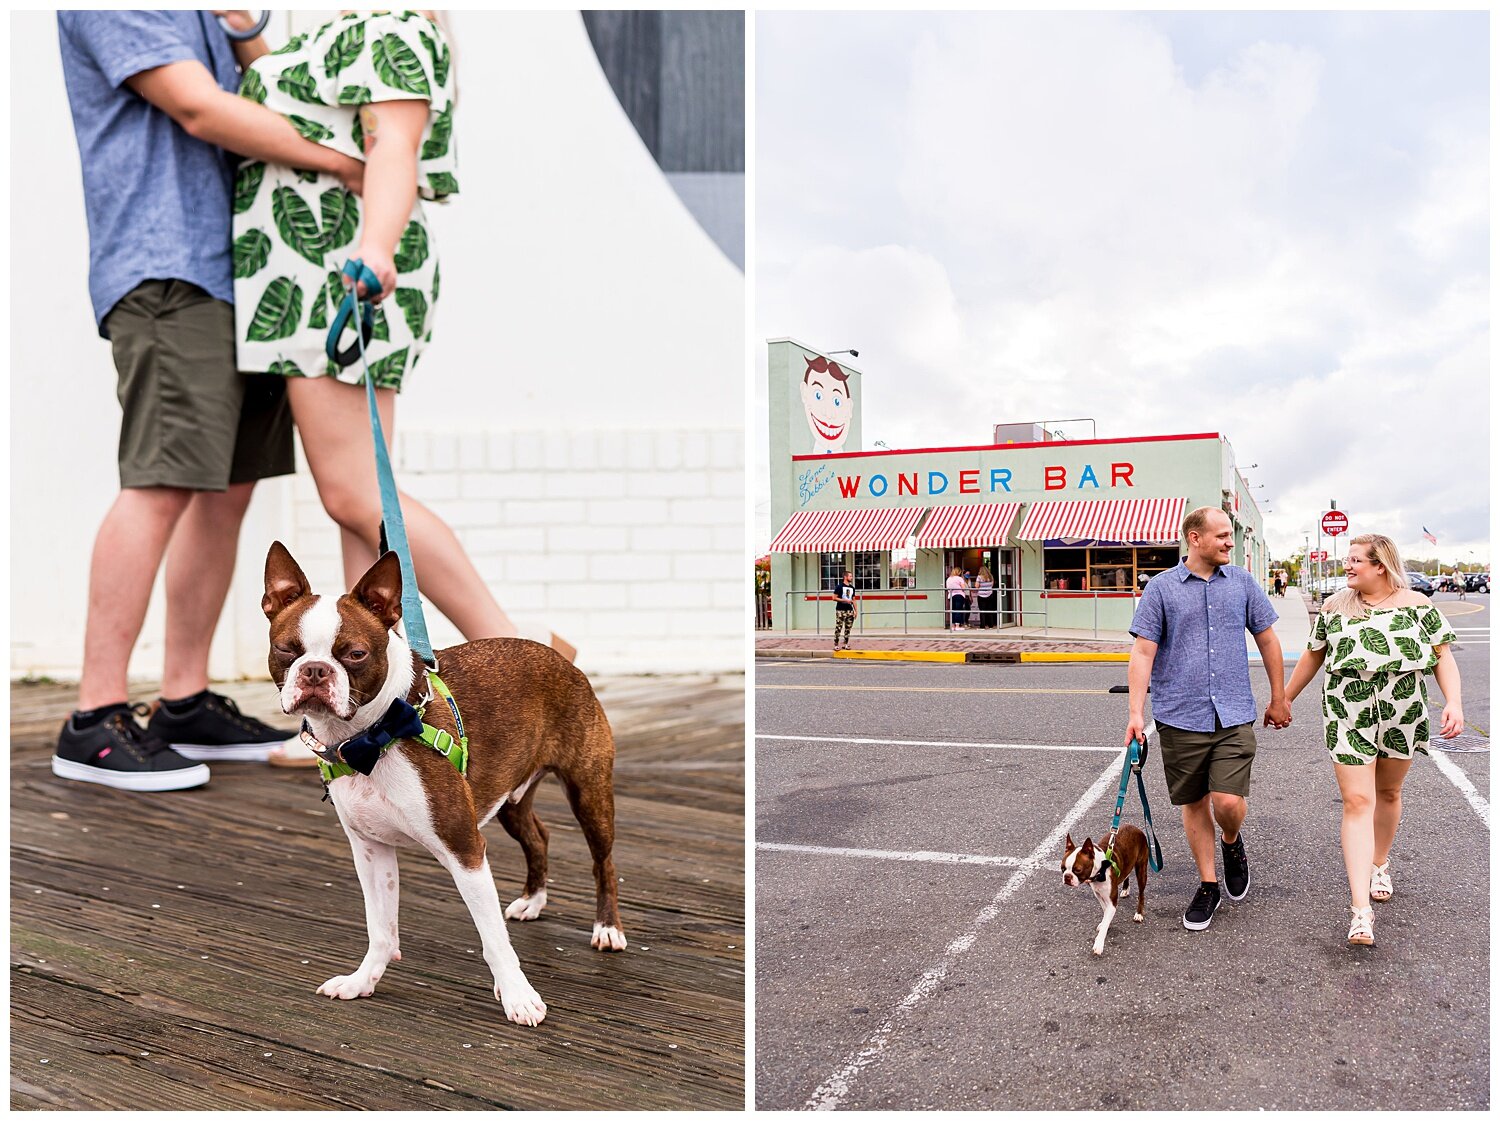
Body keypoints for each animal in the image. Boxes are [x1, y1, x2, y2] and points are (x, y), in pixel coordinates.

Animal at [264, 543, 627, 1026]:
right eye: (286, 649)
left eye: (356, 654)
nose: (316, 671)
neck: (370, 737)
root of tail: (560, 659)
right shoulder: (371, 850)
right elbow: (381, 929)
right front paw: (362, 981)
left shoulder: (465, 849)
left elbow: (493, 941)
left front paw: (518, 996)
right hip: (509, 800)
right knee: (539, 836)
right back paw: (533, 900)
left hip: (589, 791)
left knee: (603, 861)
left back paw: (607, 928)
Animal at [1062, 822, 1152, 954]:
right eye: (1062, 868)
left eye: (1078, 870)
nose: (1067, 877)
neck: (1100, 870)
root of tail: (1135, 827)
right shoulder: (1098, 894)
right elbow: (1105, 912)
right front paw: (1106, 923)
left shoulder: (1112, 902)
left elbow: (1106, 918)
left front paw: (1099, 943)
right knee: (1126, 873)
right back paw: (1125, 888)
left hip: (1141, 869)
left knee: (1141, 893)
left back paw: (1139, 913)